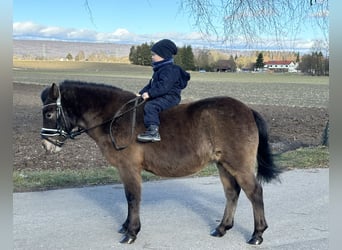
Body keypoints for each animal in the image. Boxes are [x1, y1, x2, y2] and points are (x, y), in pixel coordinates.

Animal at [40, 79, 280, 244]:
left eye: (50, 113)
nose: (46, 145)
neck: (115, 118)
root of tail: (247, 109)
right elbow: (130, 197)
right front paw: (126, 226)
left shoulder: (129, 168)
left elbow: (132, 197)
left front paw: (131, 232)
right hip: (223, 165)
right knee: (232, 193)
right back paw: (222, 228)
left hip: (239, 165)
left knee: (254, 192)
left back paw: (257, 234)